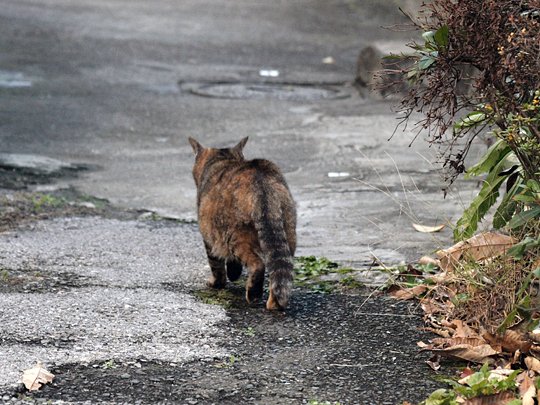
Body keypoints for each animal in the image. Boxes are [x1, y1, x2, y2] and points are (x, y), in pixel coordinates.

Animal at [189, 136, 298, 310]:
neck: (221, 160)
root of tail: (261, 182)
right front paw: (233, 274)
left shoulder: (209, 237)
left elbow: (216, 264)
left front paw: (218, 282)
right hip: (288, 232)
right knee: (279, 272)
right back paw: (273, 303)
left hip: (235, 236)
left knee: (258, 264)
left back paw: (253, 294)